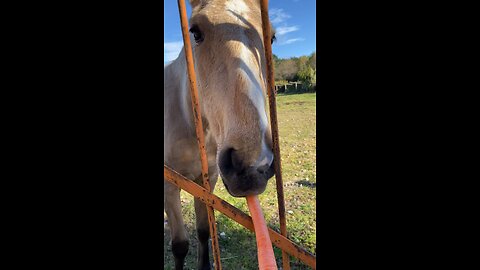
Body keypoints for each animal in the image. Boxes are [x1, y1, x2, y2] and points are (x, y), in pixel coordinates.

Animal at [165, 1, 278, 268]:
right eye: (195, 32)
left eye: (272, 38)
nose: (253, 165)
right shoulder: (169, 186)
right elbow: (180, 245)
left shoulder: (208, 179)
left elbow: (204, 231)